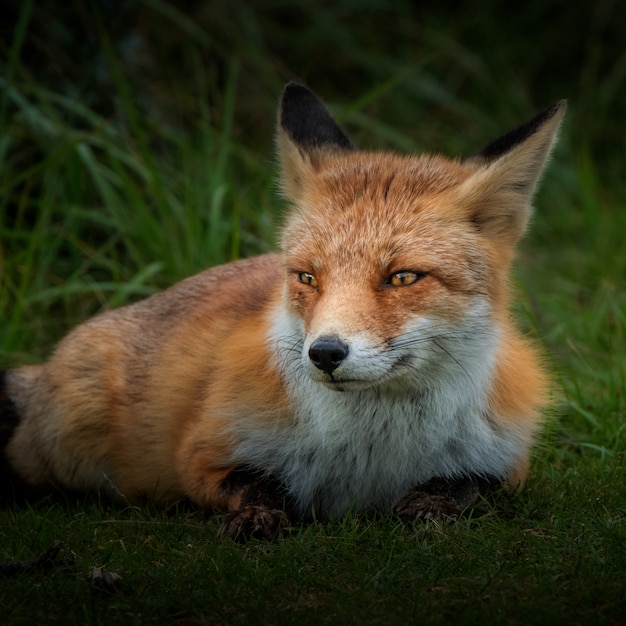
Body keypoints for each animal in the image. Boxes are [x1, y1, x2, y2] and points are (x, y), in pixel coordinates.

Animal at [0, 85, 564, 540]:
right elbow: (257, 485)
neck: (371, 458)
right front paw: (257, 516)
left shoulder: (507, 463)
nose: (325, 353)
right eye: (307, 277)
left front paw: (428, 508)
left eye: (403, 278)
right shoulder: (204, 452)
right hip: (67, 444)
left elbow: (466, 488)